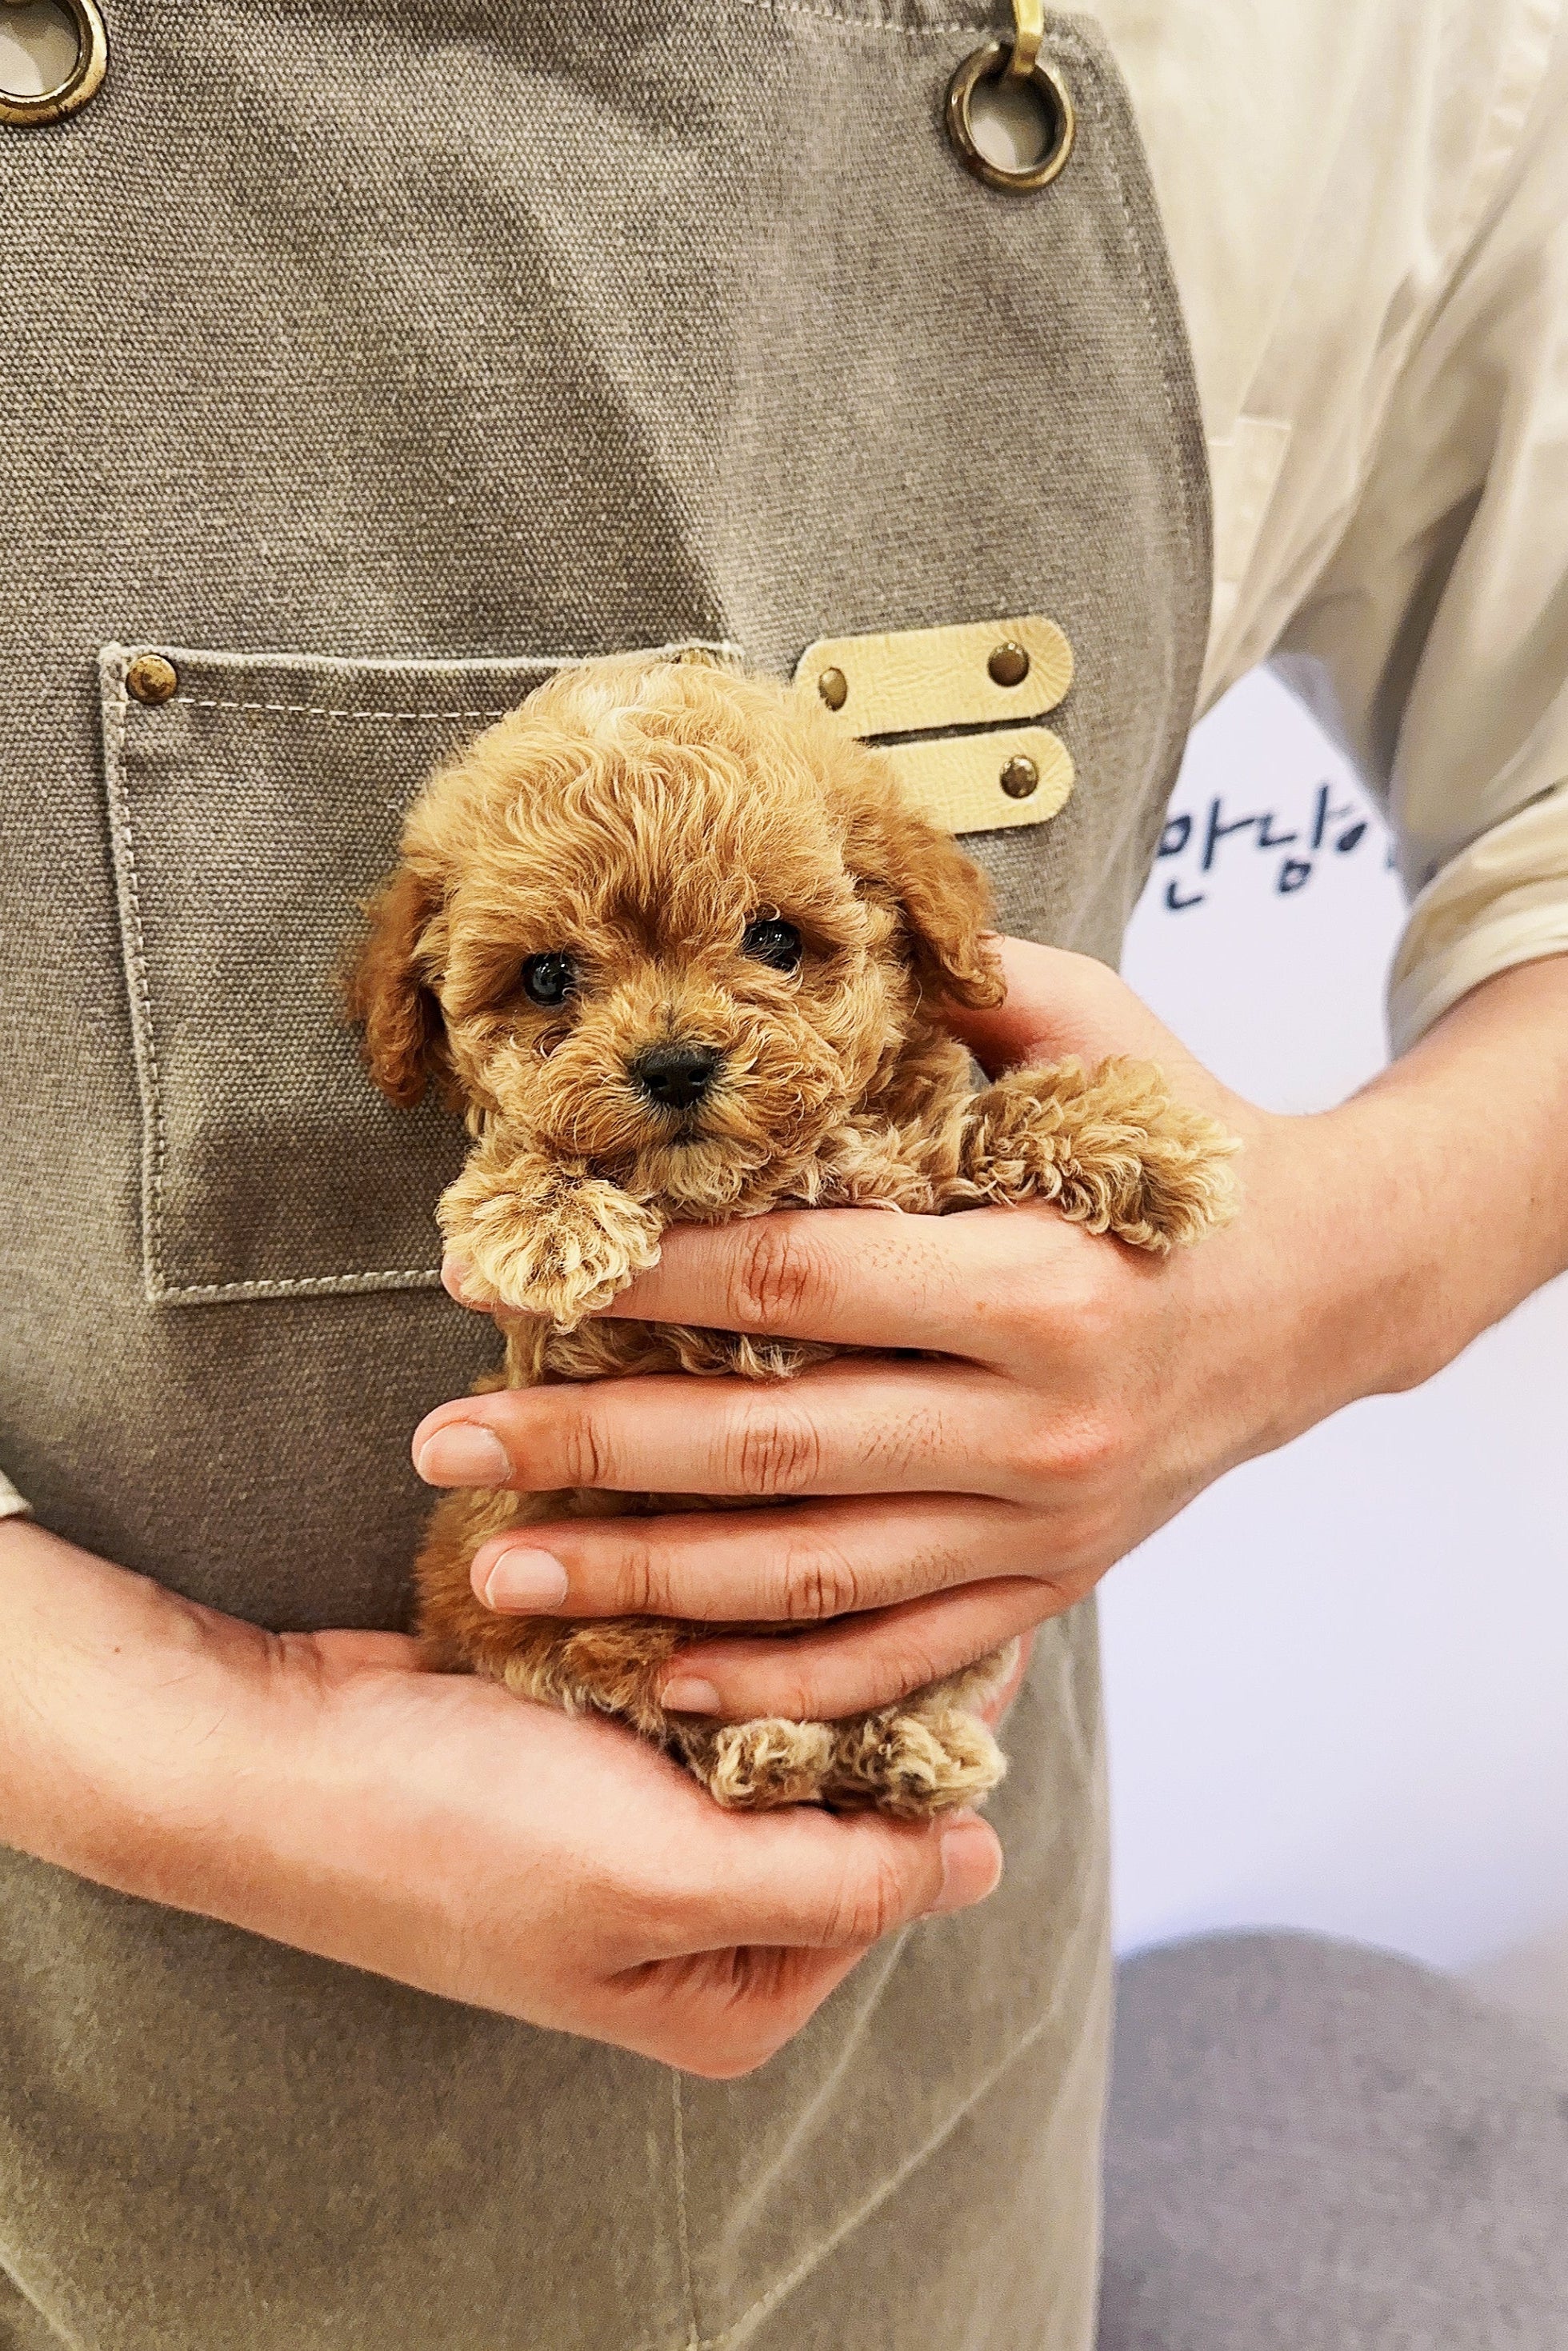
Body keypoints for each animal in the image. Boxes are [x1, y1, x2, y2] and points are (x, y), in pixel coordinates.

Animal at [345, 654, 1241, 1824]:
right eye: (545, 977)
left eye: (775, 937)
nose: (676, 1064)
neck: (760, 1185)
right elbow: (527, 1155)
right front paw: (550, 1217)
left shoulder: (919, 1164)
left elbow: (985, 1121)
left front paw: (1143, 1134)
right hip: (513, 1598)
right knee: (630, 1670)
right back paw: (766, 1741)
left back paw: (904, 1744)